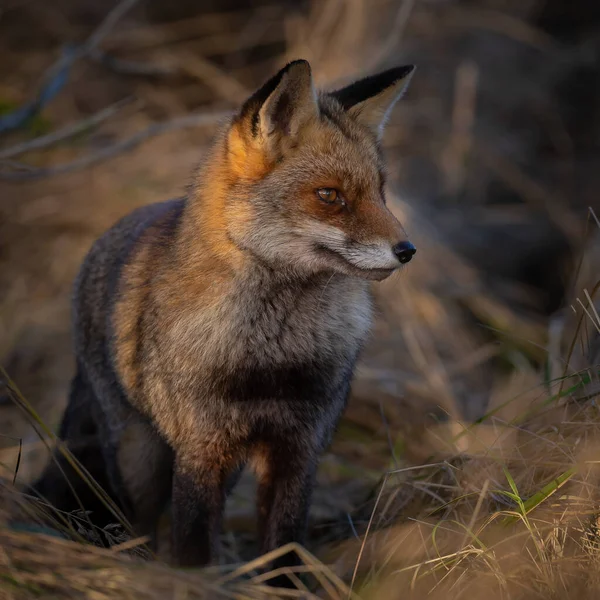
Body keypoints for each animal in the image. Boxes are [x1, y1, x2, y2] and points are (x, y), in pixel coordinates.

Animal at [32, 58, 418, 576]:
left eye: (380, 192)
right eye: (329, 195)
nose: (407, 250)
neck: (271, 357)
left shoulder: (298, 449)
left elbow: (284, 551)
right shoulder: (201, 449)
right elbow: (193, 545)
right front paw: (196, 581)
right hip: (139, 459)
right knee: (139, 524)